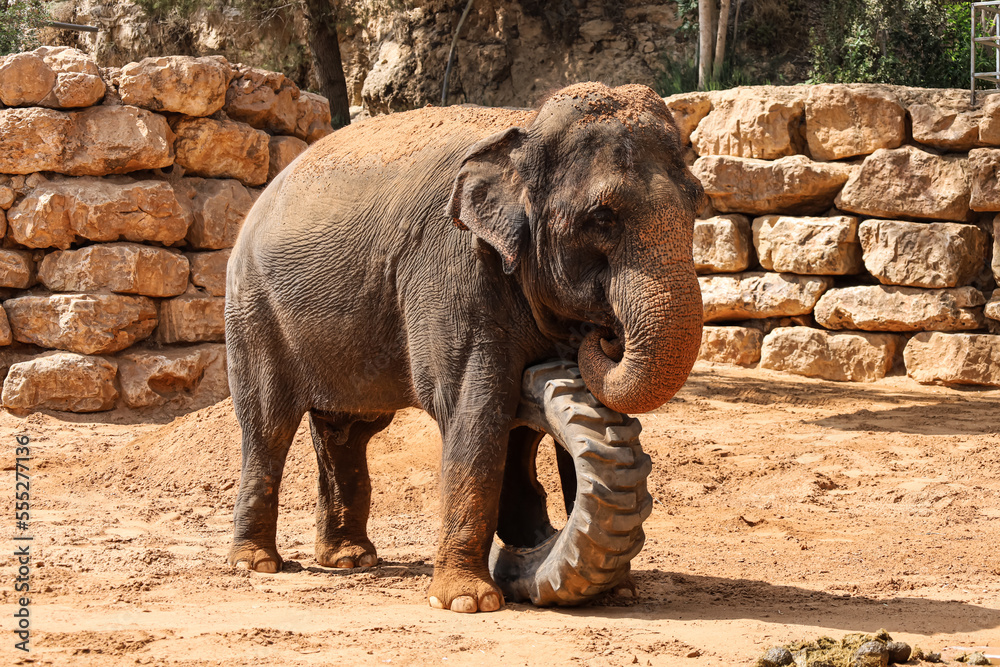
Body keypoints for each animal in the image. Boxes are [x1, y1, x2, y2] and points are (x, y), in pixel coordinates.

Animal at [229, 83, 704, 616]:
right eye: (602, 217)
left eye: (698, 204)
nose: (604, 336)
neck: (526, 129)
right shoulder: (453, 267)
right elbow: (474, 407)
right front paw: (467, 602)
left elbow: (532, 424)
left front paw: (614, 588)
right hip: (252, 310)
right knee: (268, 424)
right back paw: (257, 563)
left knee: (348, 428)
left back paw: (350, 559)